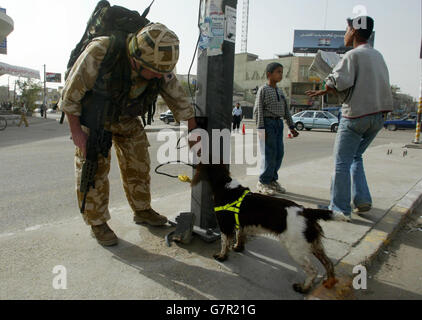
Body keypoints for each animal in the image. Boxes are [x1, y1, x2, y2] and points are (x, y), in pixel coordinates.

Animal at [193, 165, 344, 296]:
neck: (225, 186)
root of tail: (306, 211)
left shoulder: (224, 226)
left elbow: (224, 244)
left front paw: (222, 256)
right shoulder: (240, 224)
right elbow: (239, 236)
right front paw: (238, 247)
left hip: (296, 249)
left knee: (313, 271)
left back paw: (303, 288)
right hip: (314, 244)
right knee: (329, 264)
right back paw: (330, 282)